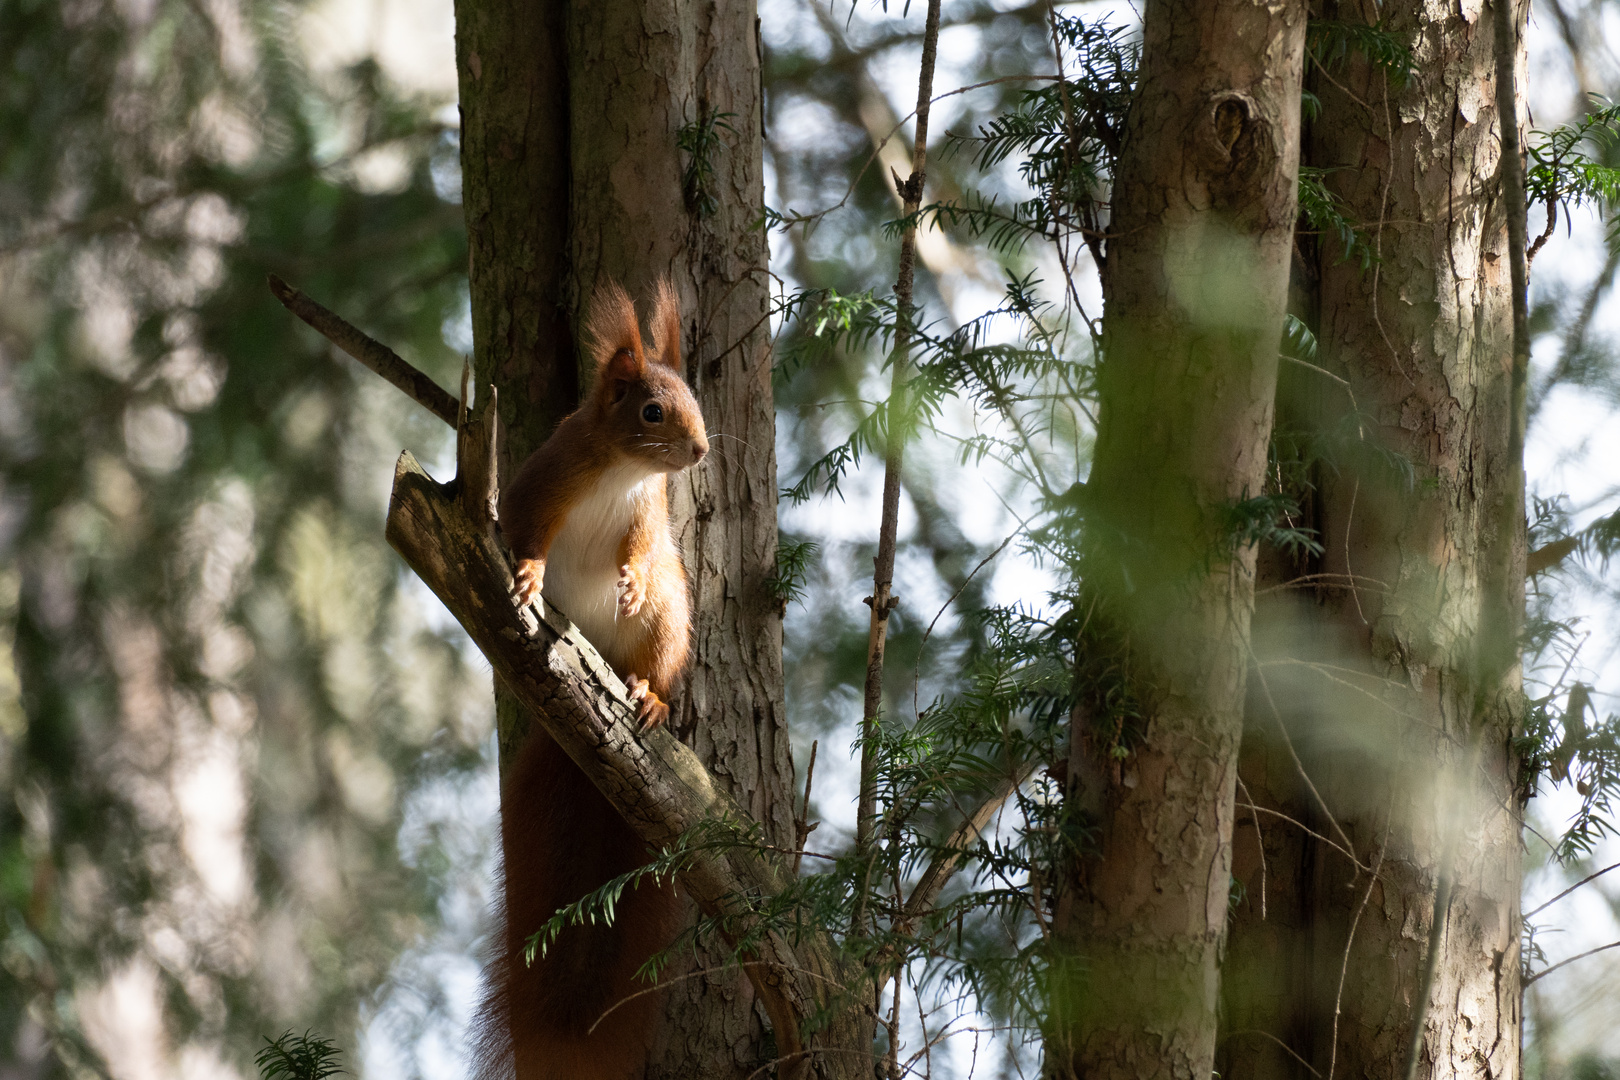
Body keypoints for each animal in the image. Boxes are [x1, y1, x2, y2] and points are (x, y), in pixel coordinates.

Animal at [476, 281, 712, 1080]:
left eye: (695, 397)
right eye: (651, 411)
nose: (702, 450)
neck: (622, 472)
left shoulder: (648, 518)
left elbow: (639, 549)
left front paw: (628, 582)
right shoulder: (546, 482)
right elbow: (530, 534)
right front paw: (528, 573)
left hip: (671, 622)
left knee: (656, 654)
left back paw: (648, 697)